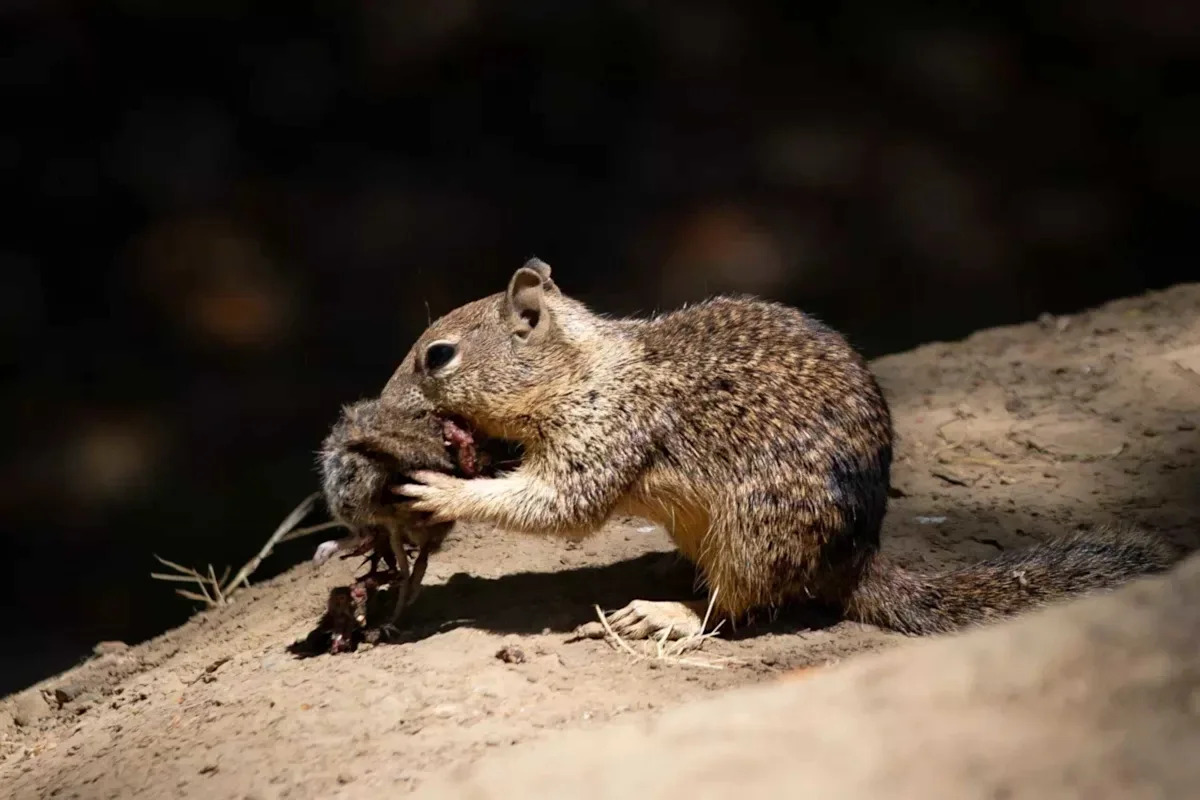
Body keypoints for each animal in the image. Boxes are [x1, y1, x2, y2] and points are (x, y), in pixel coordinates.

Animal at [390, 259, 1178, 640]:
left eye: (438, 356)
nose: (388, 401)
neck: (584, 369)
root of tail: (854, 559)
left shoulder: (607, 430)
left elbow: (560, 504)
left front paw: (441, 490)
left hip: (754, 531)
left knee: (738, 607)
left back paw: (666, 614)